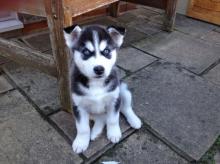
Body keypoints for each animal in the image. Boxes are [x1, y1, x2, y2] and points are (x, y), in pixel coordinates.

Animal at [64, 24, 142, 154]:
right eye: (86, 52)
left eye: (106, 51)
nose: (99, 69)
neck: (96, 83)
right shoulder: (78, 106)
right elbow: (83, 128)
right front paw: (81, 142)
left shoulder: (114, 99)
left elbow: (113, 119)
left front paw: (114, 133)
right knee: (101, 118)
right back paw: (95, 132)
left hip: (123, 89)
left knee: (125, 108)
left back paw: (134, 120)